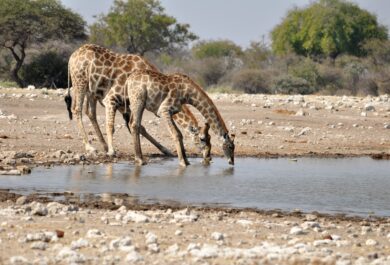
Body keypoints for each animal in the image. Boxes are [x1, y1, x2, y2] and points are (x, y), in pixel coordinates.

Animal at [65, 42, 209, 155]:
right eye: (202, 138)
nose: (207, 153)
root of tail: (71, 57)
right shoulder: (113, 98)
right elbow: (111, 125)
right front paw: (112, 150)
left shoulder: (125, 103)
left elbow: (140, 127)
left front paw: (166, 150)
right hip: (80, 82)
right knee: (76, 109)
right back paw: (90, 147)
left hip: (91, 91)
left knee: (90, 112)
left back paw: (103, 146)